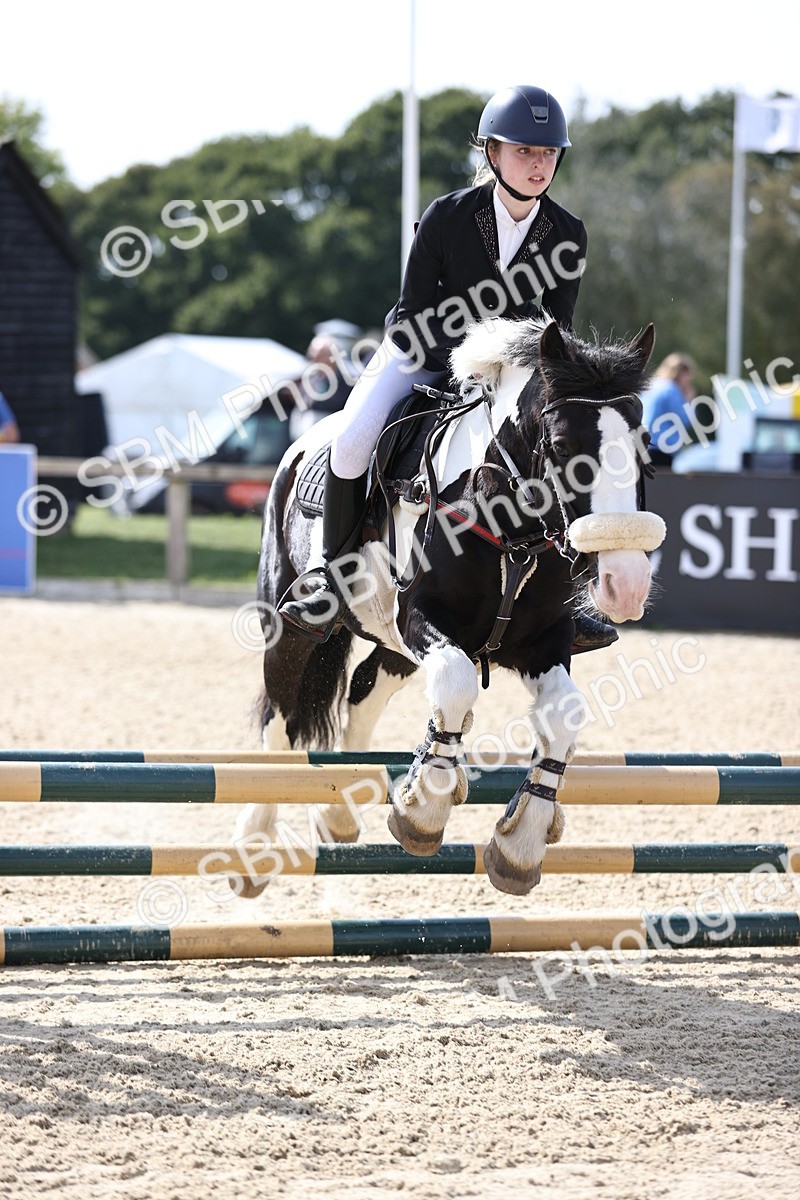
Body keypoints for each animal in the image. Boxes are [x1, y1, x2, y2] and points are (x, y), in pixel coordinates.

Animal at [233, 316, 665, 896]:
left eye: (645, 446)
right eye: (561, 443)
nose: (628, 583)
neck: (506, 524)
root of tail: (299, 446)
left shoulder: (541, 640)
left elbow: (562, 714)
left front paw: (519, 846)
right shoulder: (422, 618)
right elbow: (458, 685)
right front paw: (423, 813)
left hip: (393, 646)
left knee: (363, 693)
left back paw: (339, 815)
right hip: (292, 628)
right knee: (278, 723)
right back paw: (252, 847)